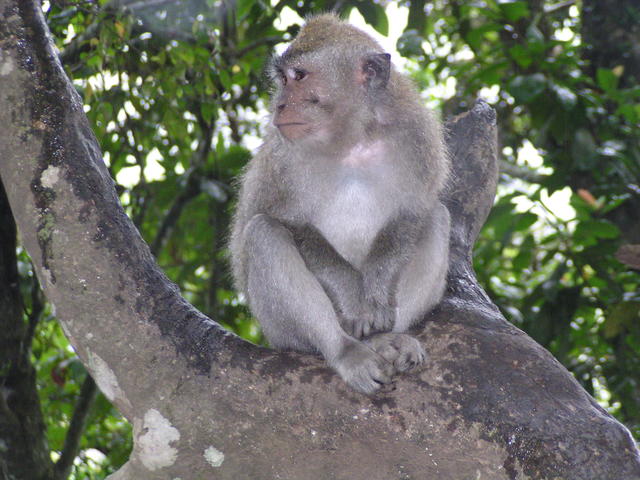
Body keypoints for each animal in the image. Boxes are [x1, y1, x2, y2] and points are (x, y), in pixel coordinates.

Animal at [229, 14, 450, 394]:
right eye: (283, 80)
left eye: (299, 76)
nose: (280, 105)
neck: (351, 139)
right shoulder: (282, 157)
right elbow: (290, 222)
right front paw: (352, 296)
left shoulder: (418, 137)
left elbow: (413, 212)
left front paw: (376, 291)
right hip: (280, 331)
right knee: (263, 233)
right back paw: (347, 351)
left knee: (437, 217)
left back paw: (386, 338)